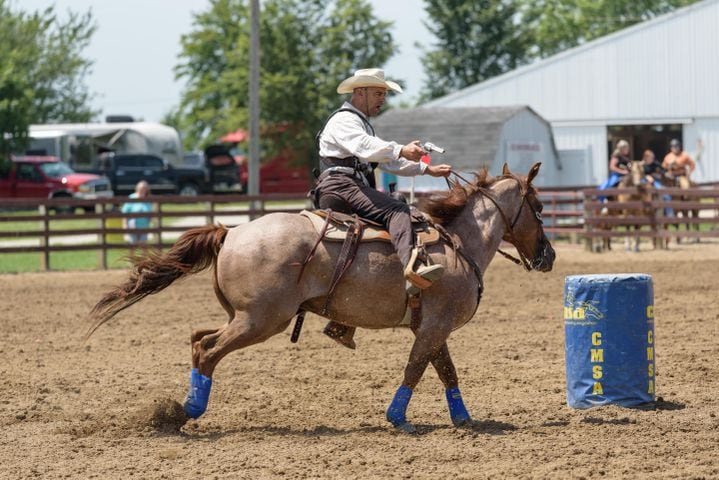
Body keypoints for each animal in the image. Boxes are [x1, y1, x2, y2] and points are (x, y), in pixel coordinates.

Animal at [86, 163, 556, 434]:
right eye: (538, 207)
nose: (548, 256)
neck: (457, 245)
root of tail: (231, 232)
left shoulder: (430, 327)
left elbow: (445, 372)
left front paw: (463, 419)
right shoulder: (433, 328)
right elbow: (416, 370)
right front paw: (398, 419)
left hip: (243, 316)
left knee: (198, 338)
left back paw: (180, 409)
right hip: (260, 320)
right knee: (208, 349)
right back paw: (187, 411)